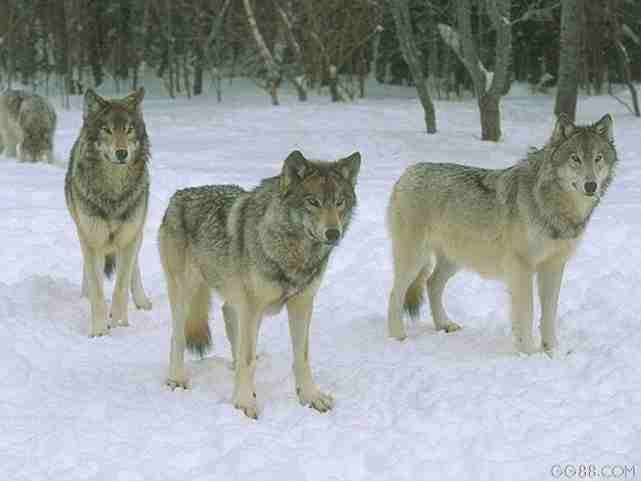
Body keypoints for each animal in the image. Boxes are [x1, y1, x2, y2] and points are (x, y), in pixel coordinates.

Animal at [64, 88, 152, 336]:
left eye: (128, 129)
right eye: (107, 130)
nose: (121, 153)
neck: (113, 193)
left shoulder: (129, 238)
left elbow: (120, 287)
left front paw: (121, 323)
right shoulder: (91, 238)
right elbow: (98, 289)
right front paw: (99, 330)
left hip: (137, 233)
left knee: (134, 269)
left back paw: (142, 301)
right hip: (86, 233)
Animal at [158, 149, 360, 416]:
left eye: (339, 202)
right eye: (313, 202)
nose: (334, 234)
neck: (293, 253)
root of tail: (177, 196)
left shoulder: (302, 304)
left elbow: (302, 357)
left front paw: (310, 396)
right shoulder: (253, 308)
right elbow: (248, 359)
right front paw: (244, 403)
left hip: (235, 301)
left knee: (230, 322)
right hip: (186, 293)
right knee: (177, 337)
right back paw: (177, 378)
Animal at [388, 112, 616, 352]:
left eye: (598, 158)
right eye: (575, 158)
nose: (591, 186)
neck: (553, 205)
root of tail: (406, 173)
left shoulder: (553, 267)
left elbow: (549, 315)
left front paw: (552, 351)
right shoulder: (521, 268)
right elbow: (526, 313)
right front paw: (529, 351)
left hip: (454, 260)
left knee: (431, 284)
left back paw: (444, 324)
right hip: (414, 260)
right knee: (395, 293)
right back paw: (398, 336)